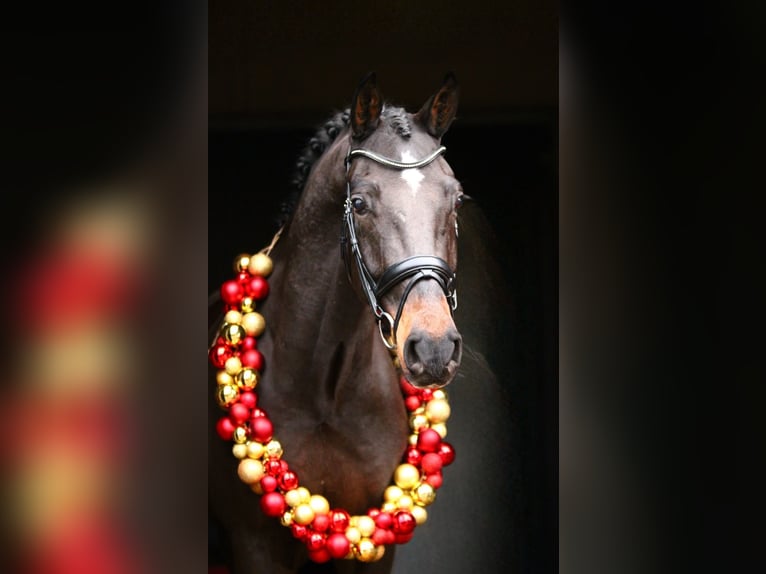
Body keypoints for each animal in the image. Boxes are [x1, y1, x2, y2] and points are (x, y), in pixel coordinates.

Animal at [209, 73, 518, 574]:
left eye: (456, 198)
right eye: (359, 202)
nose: (433, 349)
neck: (323, 390)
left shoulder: (375, 547)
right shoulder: (254, 545)